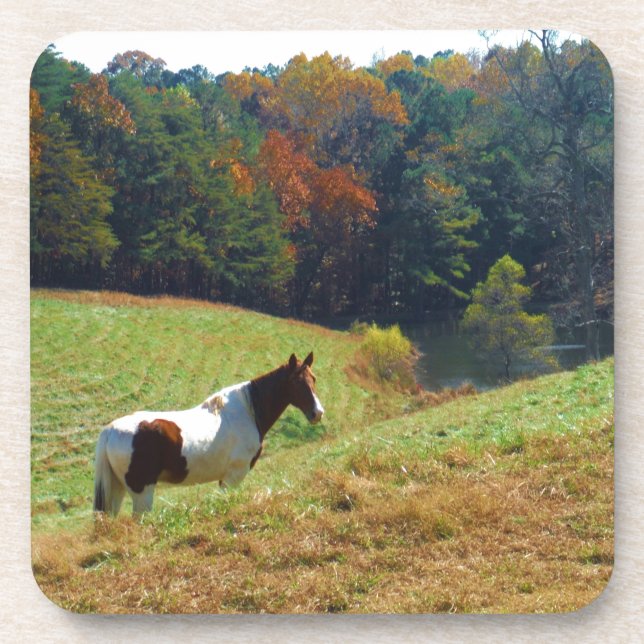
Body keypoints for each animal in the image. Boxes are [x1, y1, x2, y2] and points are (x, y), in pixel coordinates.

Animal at [93, 352, 324, 516]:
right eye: (296, 382)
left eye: (313, 378)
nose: (317, 413)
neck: (247, 411)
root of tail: (110, 430)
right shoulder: (233, 477)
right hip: (142, 492)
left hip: (117, 489)